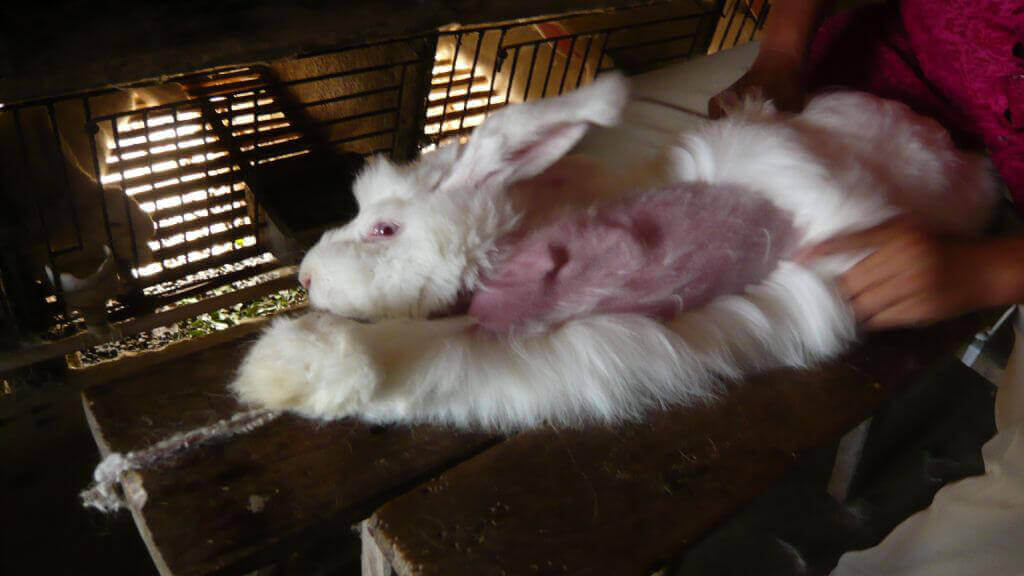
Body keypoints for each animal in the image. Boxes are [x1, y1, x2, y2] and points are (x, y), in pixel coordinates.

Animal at [228, 71, 995, 428]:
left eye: (383, 230)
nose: (305, 276)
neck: (513, 249)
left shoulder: (531, 332)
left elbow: (414, 350)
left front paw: (280, 369)